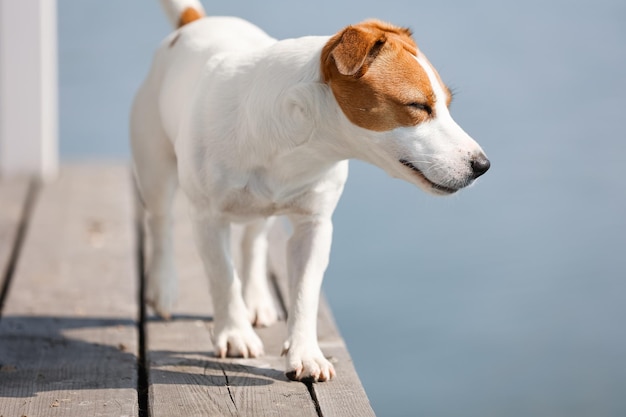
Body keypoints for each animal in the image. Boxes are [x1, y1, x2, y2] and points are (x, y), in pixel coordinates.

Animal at [130, 0, 488, 384]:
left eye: (447, 104)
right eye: (418, 106)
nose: (483, 165)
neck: (297, 144)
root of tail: (194, 22)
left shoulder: (314, 226)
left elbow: (304, 293)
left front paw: (305, 354)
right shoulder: (208, 219)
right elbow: (223, 278)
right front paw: (236, 334)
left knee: (254, 240)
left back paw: (257, 299)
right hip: (155, 166)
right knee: (161, 222)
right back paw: (164, 289)